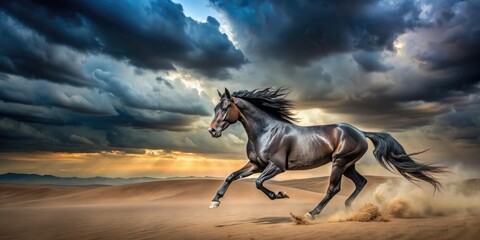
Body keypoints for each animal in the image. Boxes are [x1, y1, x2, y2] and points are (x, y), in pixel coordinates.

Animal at [206, 87, 446, 219]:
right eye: (215, 108)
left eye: (225, 108)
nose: (212, 131)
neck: (266, 131)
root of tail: (360, 132)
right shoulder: (256, 165)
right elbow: (231, 176)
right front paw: (215, 202)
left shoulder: (276, 167)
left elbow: (258, 183)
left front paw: (280, 194)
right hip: (348, 166)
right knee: (361, 182)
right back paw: (349, 208)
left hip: (339, 163)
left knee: (333, 188)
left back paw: (312, 213)